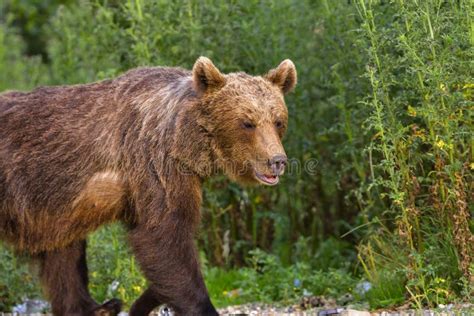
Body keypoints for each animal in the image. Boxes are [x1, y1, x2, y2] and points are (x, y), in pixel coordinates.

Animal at [0, 57, 296, 316]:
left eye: (278, 121)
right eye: (247, 122)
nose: (277, 161)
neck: (184, 139)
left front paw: (144, 300)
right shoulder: (153, 162)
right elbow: (163, 236)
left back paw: (100, 307)